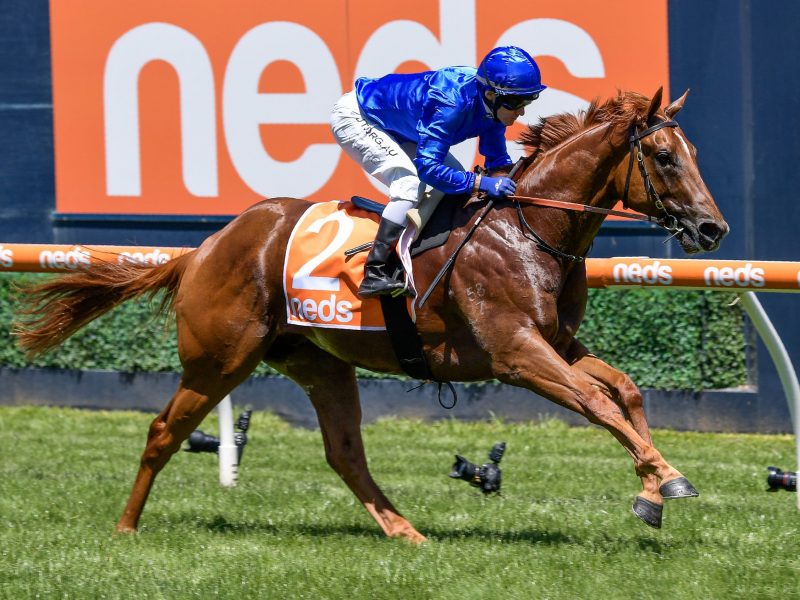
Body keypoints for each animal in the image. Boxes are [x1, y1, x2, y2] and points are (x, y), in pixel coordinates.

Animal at [15, 88, 727, 542]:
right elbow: (598, 402)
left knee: (344, 452)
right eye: (665, 156)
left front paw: (653, 488)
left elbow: (624, 390)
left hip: (318, 362)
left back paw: (403, 530)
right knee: (164, 431)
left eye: (694, 153)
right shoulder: (516, 352)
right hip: (220, 358)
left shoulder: (558, 341)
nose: (712, 228)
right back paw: (125, 527)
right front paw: (667, 480)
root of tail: (206, 246)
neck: (529, 228)